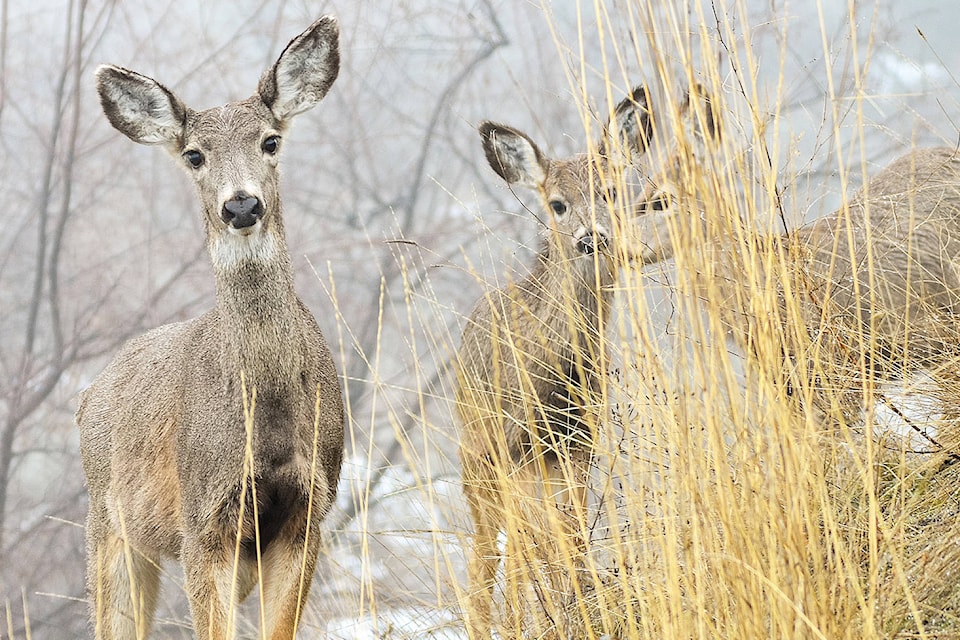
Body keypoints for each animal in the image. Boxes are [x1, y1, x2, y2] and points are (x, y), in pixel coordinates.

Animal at [76, 16, 344, 640]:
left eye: (270, 141)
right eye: (195, 156)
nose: (241, 206)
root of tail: (89, 395)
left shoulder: (307, 511)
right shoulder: (203, 518)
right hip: (109, 523)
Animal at [456, 86, 652, 640]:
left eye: (610, 192)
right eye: (558, 204)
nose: (592, 237)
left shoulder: (581, 437)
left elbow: (571, 531)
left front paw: (585, 601)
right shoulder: (518, 444)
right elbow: (542, 541)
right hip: (477, 458)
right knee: (489, 557)